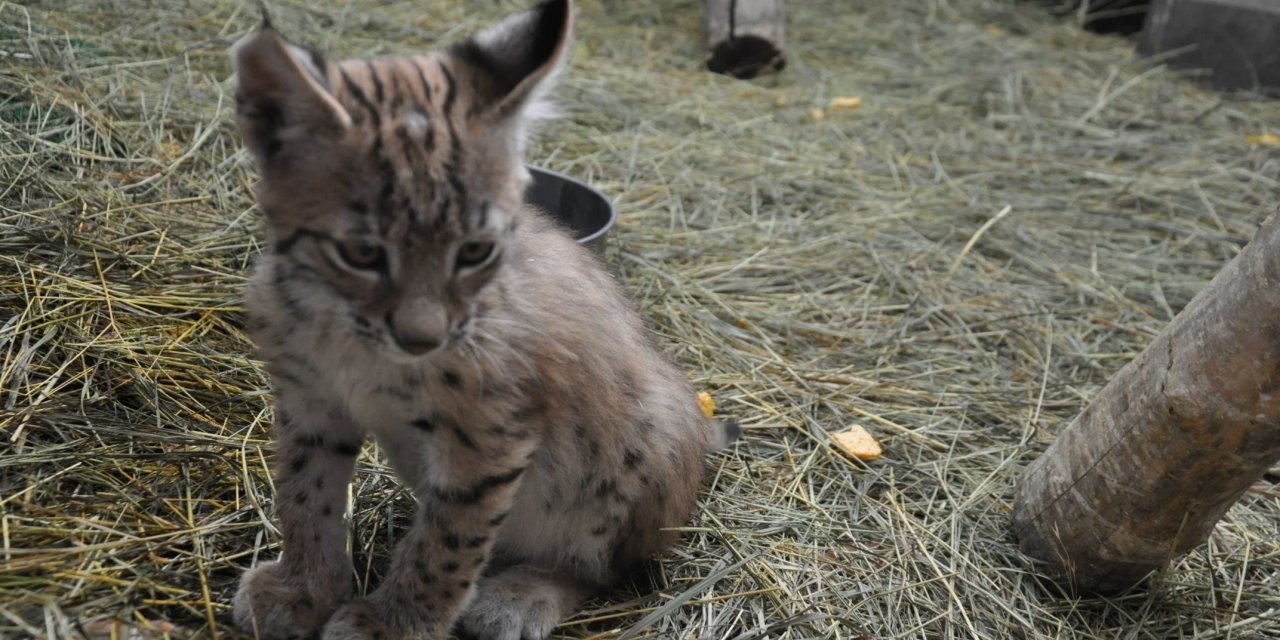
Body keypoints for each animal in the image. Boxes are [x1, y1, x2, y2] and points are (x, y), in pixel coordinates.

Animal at [225, 1, 737, 640]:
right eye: (362, 253)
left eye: (474, 251)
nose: (423, 338)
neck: (346, 333)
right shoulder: (309, 402)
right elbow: (304, 497)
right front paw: (304, 589)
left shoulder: (490, 437)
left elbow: (446, 543)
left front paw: (394, 623)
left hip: (649, 433)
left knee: (606, 568)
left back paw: (525, 593)